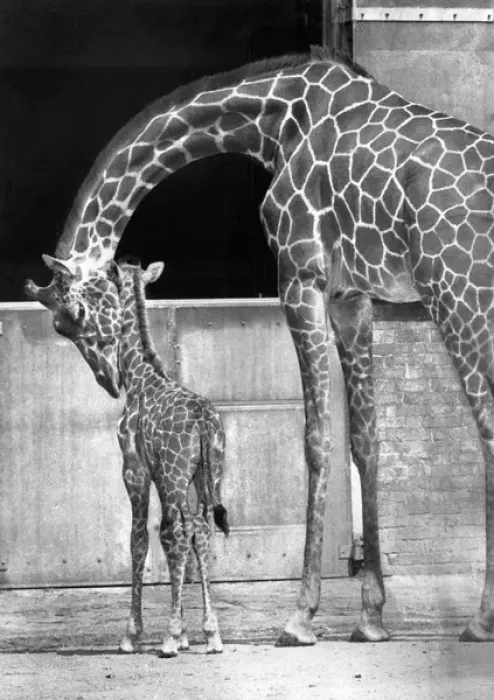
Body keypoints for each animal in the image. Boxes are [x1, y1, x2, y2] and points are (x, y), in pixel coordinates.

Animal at [52, 256, 230, 656]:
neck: (138, 376)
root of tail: (203, 421)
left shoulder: (134, 469)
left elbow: (138, 541)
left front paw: (133, 635)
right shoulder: (161, 472)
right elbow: (164, 536)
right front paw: (185, 634)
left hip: (176, 474)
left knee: (181, 530)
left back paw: (169, 638)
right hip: (208, 472)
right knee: (201, 529)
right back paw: (211, 634)